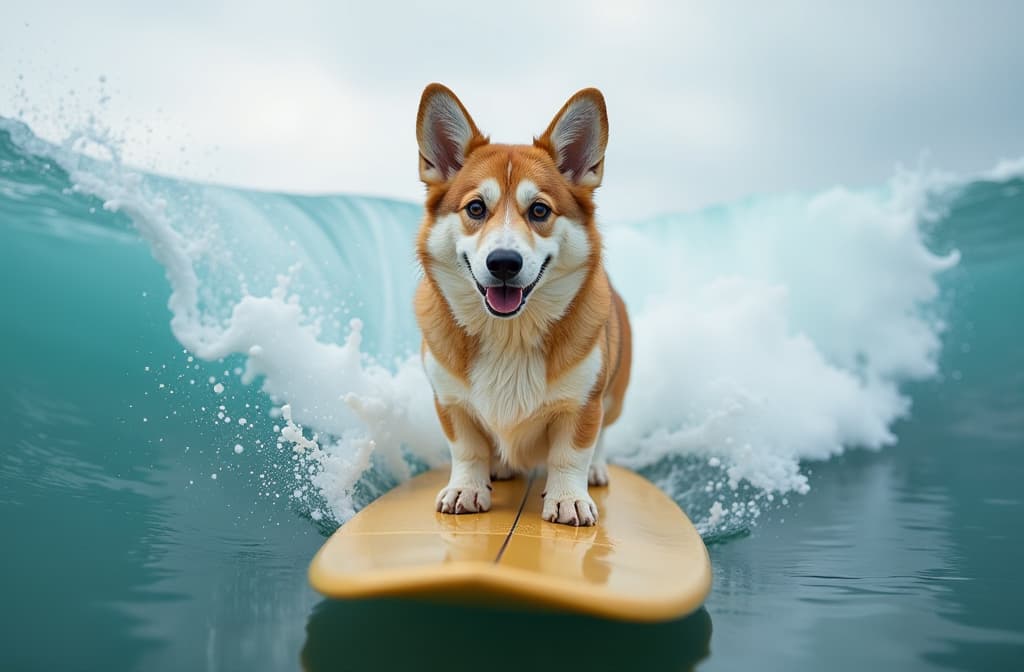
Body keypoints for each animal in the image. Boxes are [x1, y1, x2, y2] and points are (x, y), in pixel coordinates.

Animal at [411, 82, 626, 524]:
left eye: (539, 210)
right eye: (476, 208)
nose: (504, 263)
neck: (508, 333)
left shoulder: (584, 404)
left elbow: (570, 454)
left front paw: (568, 498)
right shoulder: (450, 401)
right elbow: (467, 450)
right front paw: (466, 489)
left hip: (613, 393)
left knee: (602, 437)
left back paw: (596, 470)